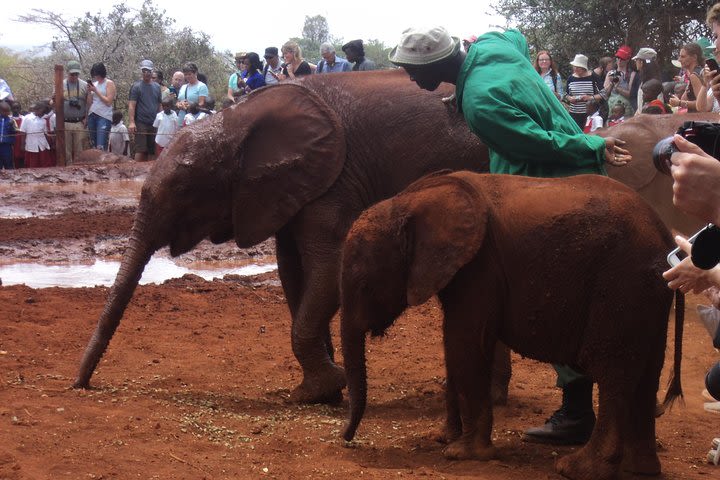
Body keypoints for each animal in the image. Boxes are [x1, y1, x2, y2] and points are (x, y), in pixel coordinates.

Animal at [71, 69, 490, 404]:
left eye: (184, 189)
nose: (79, 385)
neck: (237, 119)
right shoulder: (287, 188)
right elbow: (293, 275)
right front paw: (324, 392)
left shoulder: (334, 181)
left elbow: (329, 269)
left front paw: (320, 389)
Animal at [340, 172, 684, 480]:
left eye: (365, 285)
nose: (346, 438)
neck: (409, 201)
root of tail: (667, 237)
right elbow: (455, 347)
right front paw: (444, 438)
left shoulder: (480, 267)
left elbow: (464, 343)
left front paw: (462, 454)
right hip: (647, 293)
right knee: (645, 376)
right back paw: (640, 469)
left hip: (622, 285)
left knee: (614, 373)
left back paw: (577, 469)